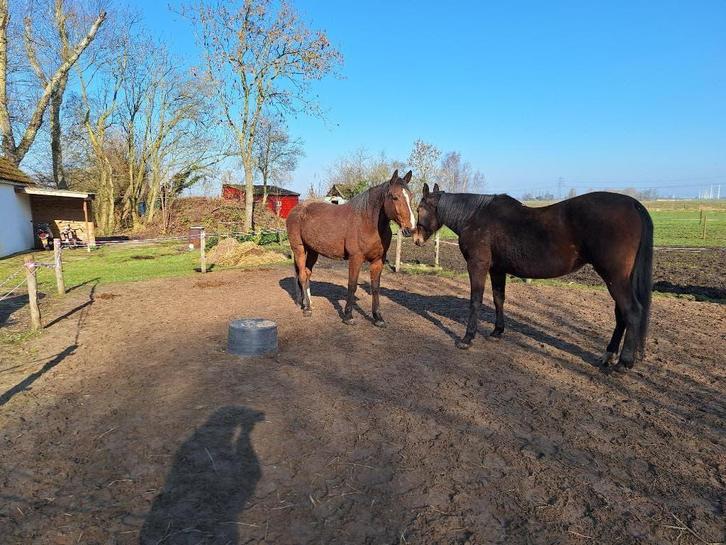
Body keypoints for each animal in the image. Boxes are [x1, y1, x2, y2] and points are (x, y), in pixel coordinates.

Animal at [286, 170, 417, 326]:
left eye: (411, 196)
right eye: (395, 197)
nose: (411, 229)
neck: (367, 222)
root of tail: (297, 209)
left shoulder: (378, 260)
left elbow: (375, 287)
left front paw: (378, 317)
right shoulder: (356, 258)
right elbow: (352, 285)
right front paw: (348, 316)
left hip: (312, 250)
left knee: (307, 273)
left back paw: (308, 303)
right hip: (299, 248)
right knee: (302, 275)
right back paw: (307, 309)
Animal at [413, 184, 653, 371]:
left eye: (419, 208)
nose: (415, 238)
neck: (475, 216)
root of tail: (633, 204)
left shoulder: (477, 266)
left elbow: (476, 301)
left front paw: (467, 339)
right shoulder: (497, 269)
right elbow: (499, 299)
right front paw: (497, 332)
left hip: (614, 277)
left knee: (631, 311)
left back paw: (623, 363)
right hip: (618, 278)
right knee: (621, 314)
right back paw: (608, 355)